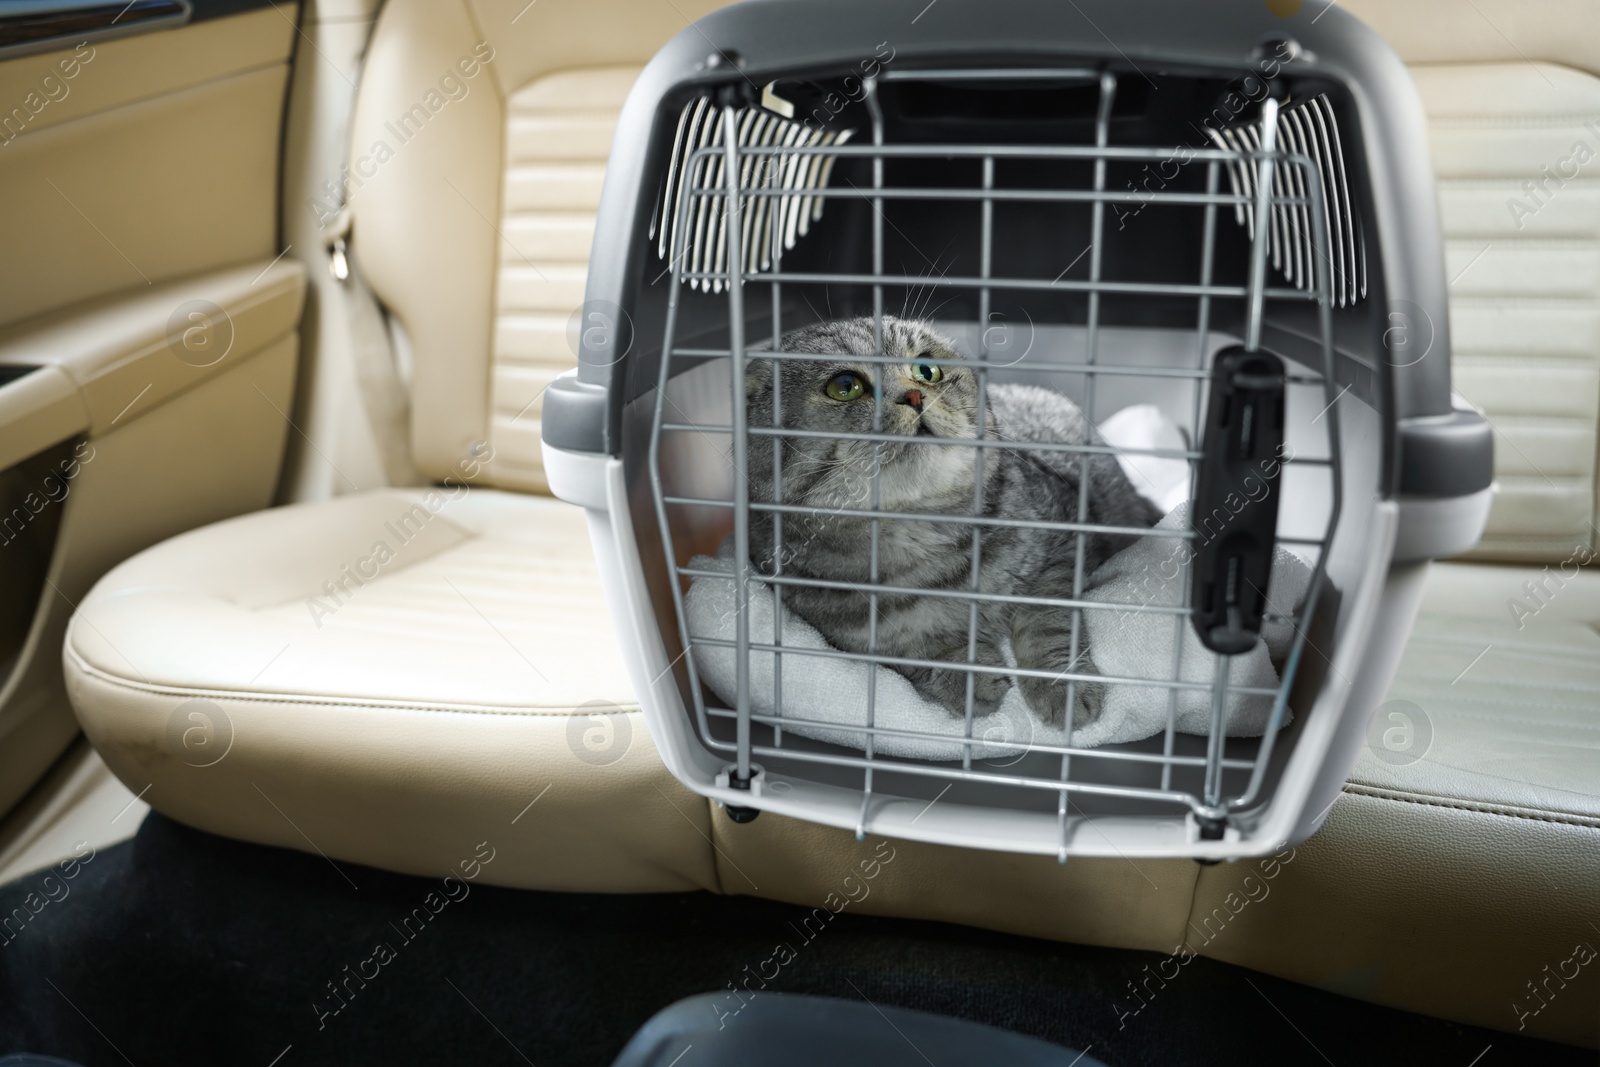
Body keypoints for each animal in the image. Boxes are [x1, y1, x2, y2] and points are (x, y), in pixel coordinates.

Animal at [742, 315, 1158, 726]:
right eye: (845, 386)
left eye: (927, 370)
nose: (914, 396)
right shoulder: (850, 639)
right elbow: (914, 654)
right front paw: (966, 678)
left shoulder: (1059, 552)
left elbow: (1049, 626)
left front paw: (1060, 686)